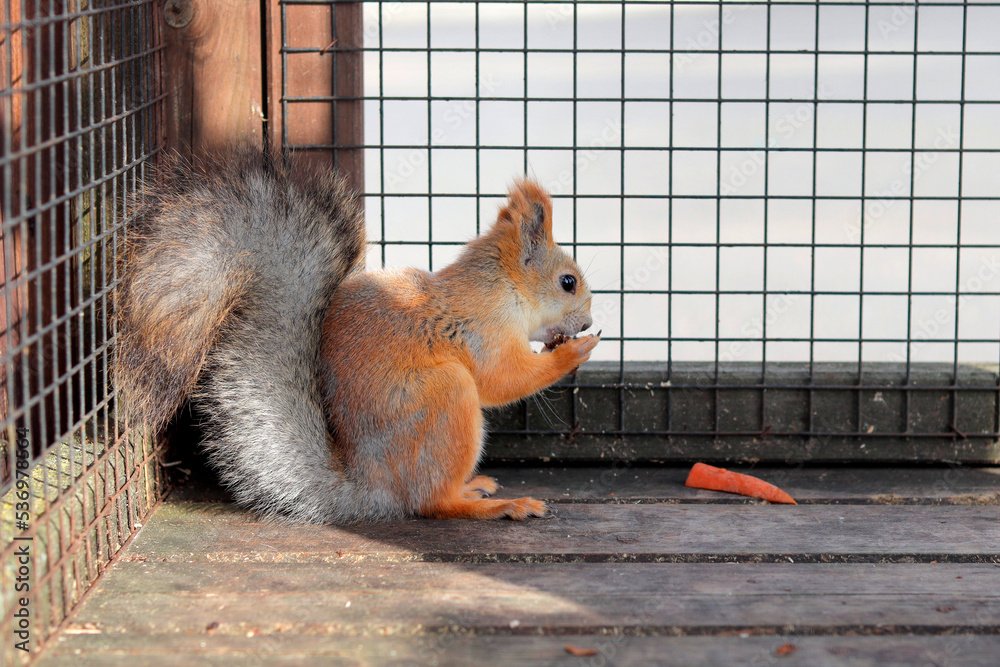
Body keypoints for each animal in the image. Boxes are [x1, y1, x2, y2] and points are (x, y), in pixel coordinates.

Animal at [116, 146, 598, 524]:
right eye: (568, 283)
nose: (586, 323)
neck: (501, 286)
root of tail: (372, 485)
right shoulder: (485, 330)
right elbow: (503, 380)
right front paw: (574, 351)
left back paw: (473, 487)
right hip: (446, 397)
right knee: (431, 502)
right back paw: (490, 506)